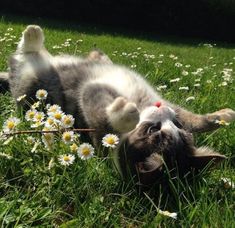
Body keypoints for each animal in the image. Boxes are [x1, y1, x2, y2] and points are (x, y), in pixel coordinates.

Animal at [0, 25, 235, 185]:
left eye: (152, 130)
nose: (161, 110)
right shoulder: (173, 108)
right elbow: (195, 119)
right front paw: (225, 115)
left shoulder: (90, 94)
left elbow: (102, 114)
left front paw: (126, 113)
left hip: (30, 81)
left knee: (23, 57)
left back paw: (33, 37)